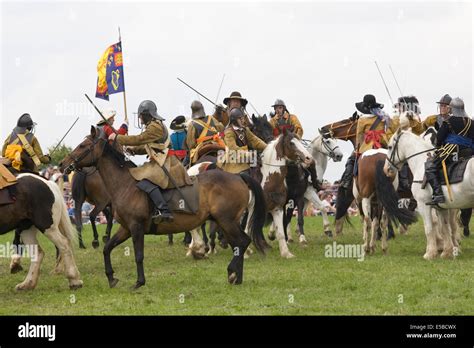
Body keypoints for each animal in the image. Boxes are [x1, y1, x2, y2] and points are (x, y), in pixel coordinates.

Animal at [59, 126, 268, 290]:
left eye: (83, 146)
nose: (62, 164)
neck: (125, 184)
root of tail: (238, 177)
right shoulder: (125, 228)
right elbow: (107, 248)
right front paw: (111, 278)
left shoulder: (136, 228)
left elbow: (138, 255)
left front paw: (139, 282)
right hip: (225, 222)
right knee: (239, 243)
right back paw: (236, 277)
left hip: (226, 221)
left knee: (242, 242)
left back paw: (232, 273)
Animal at [384, 119, 464, 258]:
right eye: (424, 136)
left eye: (389, 147)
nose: (387, 169)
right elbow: (443, 225)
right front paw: (446, 247)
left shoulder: (427, 203)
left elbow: (438, 225)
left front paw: (438, 249)